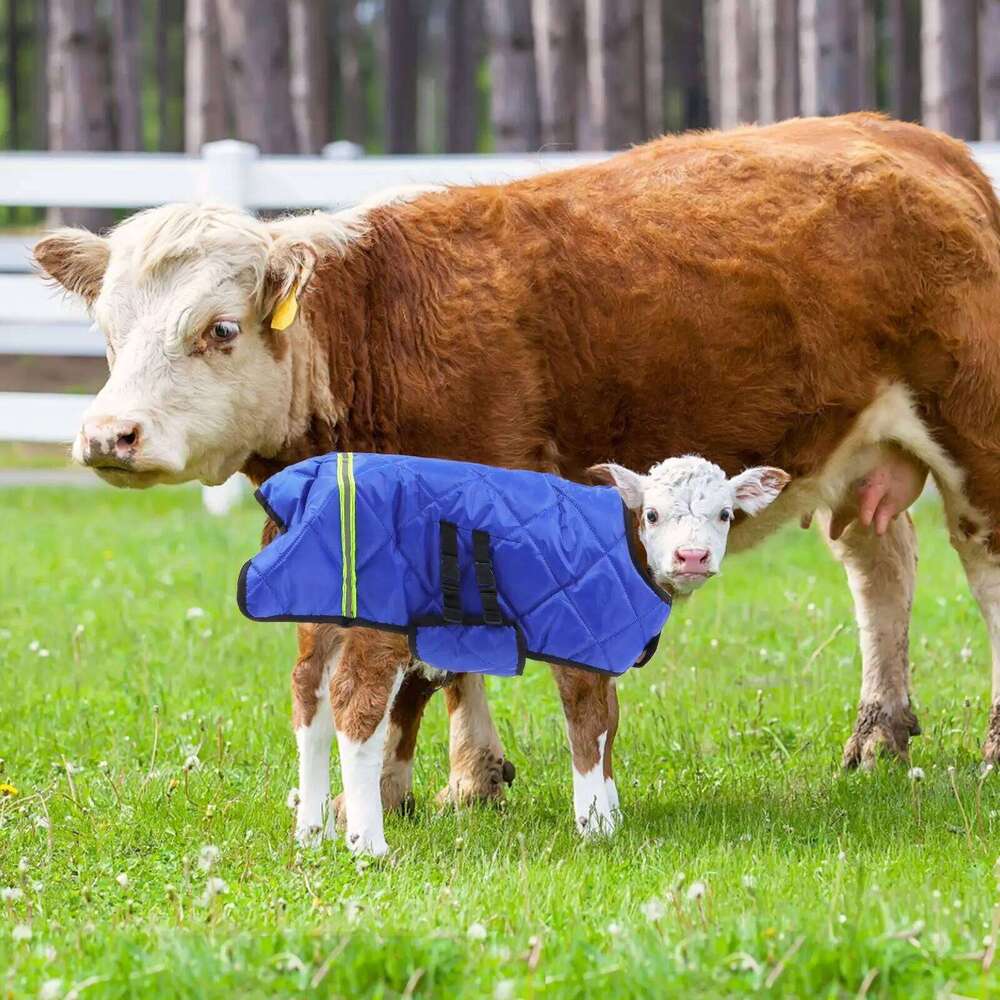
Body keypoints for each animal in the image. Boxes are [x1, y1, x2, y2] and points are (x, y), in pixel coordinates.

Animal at [35, 113, 1000, 852]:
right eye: (109, 334)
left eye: (221, 329)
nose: (108, 434)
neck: (382, 325)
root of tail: (917, 141)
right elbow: (446, 662)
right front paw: (468, 778)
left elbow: (432, 675)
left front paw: (384, 797)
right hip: (863, 451)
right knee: (882, 562)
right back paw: (879, 732)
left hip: (973, 430)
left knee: (984, 567)